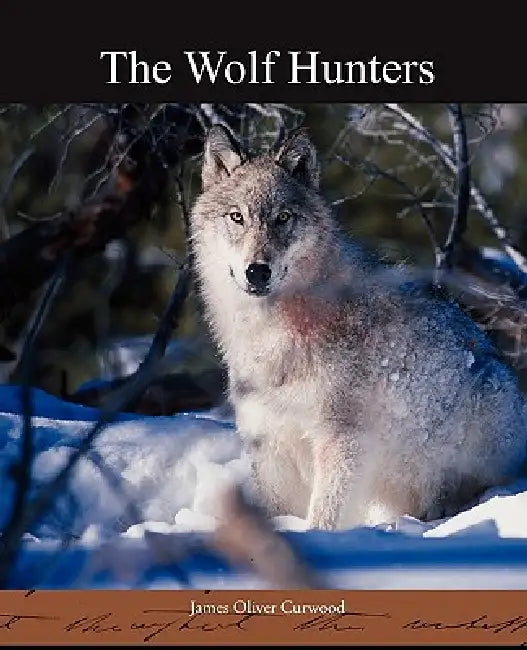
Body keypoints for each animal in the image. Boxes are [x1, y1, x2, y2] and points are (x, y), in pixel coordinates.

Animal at [190, 124, 527, 530]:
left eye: (283, 218)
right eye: (236, 217)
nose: (257, 271)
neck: (271, 334)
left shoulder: (343, 441)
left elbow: (325, 516)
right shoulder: (269, 443)